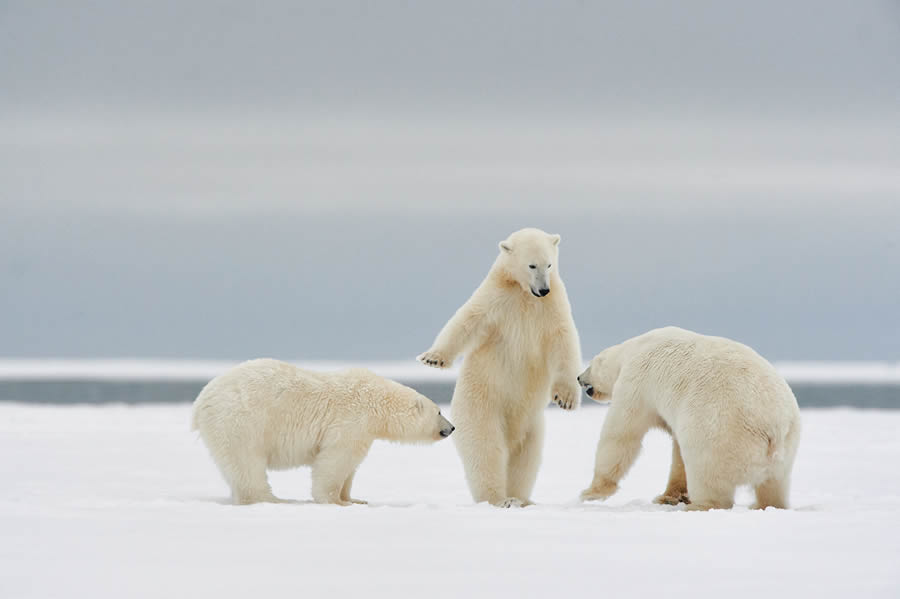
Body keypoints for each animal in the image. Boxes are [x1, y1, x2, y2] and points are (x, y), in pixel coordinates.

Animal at [192, 360, 454, 506]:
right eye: (440, 411)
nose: (451, 428)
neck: (377, 401)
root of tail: (201, 401)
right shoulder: (352, 421)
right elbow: (336, 460)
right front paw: (336, 501)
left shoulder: (364, 430)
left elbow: (351, 468)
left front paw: (354, 498)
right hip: (241, 421)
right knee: (247, 463)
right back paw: (273, 499)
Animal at [416, 227, 580, 508]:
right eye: (531, 265)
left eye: (549, 264)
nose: (543, 289)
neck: (524, 294)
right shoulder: (497, 299)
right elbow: (467, 320)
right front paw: (433, 358)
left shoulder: (552, 307)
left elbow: (564, 342)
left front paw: (566, 398)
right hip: (482, 406)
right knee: (486, 449)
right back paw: (499, 499)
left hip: (533, 425)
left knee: (526, 459)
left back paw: (521, 498)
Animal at [580, 328, 804, 510]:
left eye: (590, 365)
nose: (579, 378)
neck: (636, 347)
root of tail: (774, 427)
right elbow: (677, 451)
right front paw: (669, 497)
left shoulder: (636, 381)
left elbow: (621, 433)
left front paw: (590, 492)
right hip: (787, 447)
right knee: (774, 484)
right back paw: (764, 504)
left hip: (720, 432)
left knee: (706, 472)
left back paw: (699, 505)